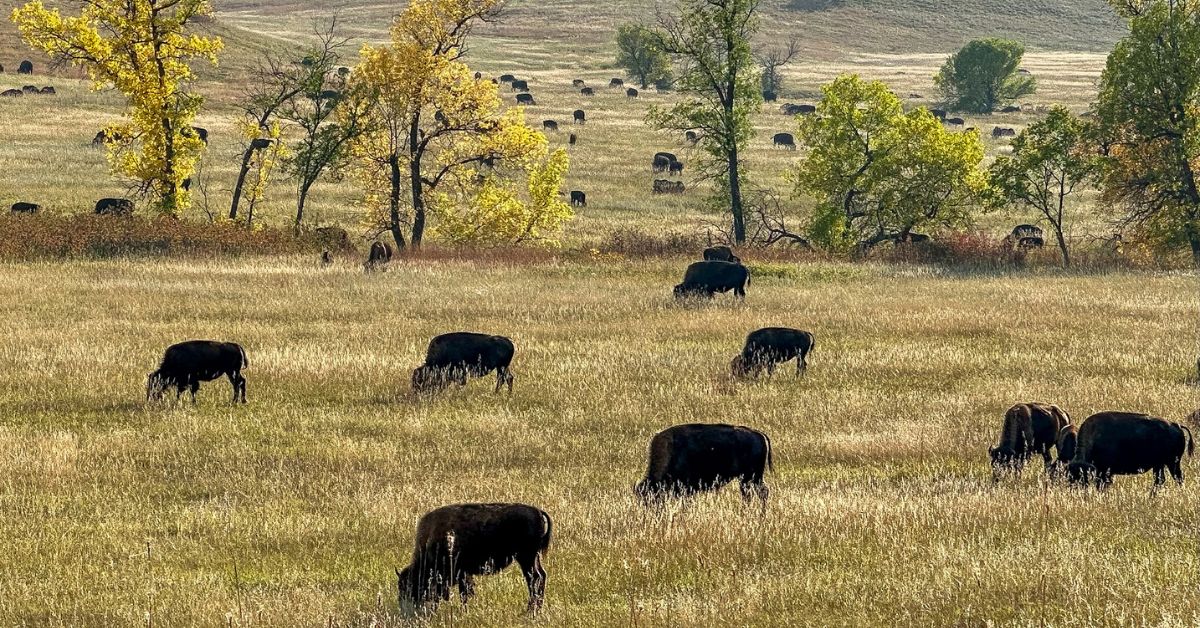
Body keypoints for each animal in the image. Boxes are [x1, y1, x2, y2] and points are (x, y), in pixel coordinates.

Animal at [396, 503, 551, 616]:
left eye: (410, 585)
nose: (405, 607)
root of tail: (538, 511)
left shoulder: (461, 574)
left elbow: (464, 594)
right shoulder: (464, 574)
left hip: (526, 558)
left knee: (534, 579)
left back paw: (531, 610)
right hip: (532, 558)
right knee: (541, 576)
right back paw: (536, 609)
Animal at [636, 423, 773, 511]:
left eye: (653, 497)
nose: (653, 513)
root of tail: (759, 434)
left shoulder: (687, 488)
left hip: (752, 476)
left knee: (760, 493)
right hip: (748, 478)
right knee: (751, 493)